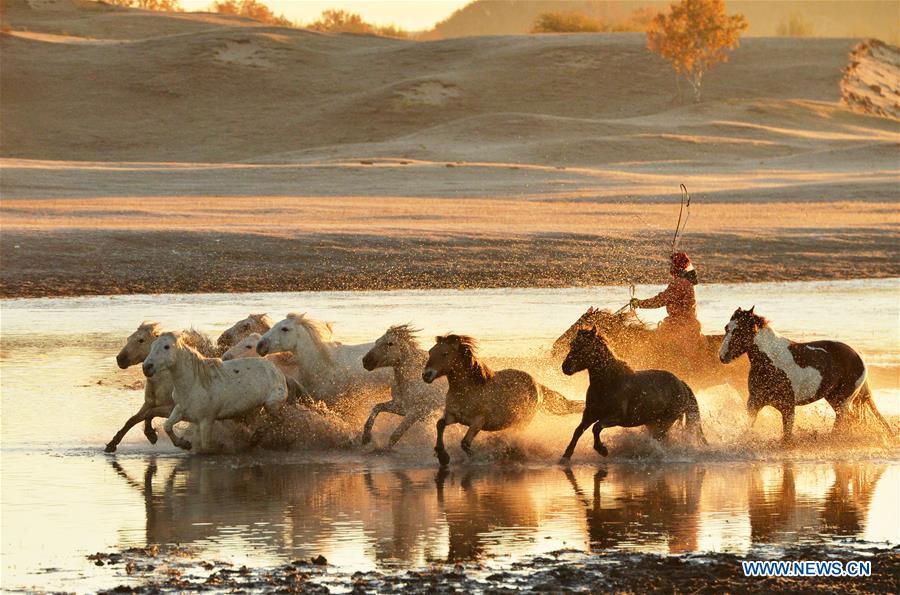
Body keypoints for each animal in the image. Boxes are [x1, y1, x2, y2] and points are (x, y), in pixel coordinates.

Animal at [105, 322, 217, 453]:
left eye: (141, 340)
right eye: (128, 338)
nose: (120, 359)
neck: (162, 382)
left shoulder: (172, 408)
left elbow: (148, 414)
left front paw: (153, 435)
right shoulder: (149, 403)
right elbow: (133, 419)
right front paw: (112, 444)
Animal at [143, 332, 288, 452]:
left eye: (166, 347)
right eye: (152, 346)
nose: (146, 367)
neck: (194, 383)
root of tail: (275, 369)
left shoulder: (206, 420)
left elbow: (206, 447)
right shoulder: (181, 410)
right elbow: (167, 425)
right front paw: (183, 443)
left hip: (272, 404)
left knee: (278, 421)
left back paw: (256, 438)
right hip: (254, 408)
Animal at [423, 334, 584, 467]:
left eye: (445, 354)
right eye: (430, 352)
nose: (426, 375)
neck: (469, 390)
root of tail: (538, 385)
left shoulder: (478, 421)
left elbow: (465, 443)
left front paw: (478, 458)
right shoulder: (453, 416)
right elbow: (440, 424)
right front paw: (443, 456)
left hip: (523, 421)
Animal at [559, 328, 706, 464]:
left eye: (584, 346)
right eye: (572, 344)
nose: (565, 367)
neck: (608, 382)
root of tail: (681, 383)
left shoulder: (616, 417)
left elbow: (597, 427)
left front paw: (602, 450)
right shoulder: (590, 413)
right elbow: (578, 430)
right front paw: (566, 456)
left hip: (666, 421)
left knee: (661, 439)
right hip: (652, 422)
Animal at [718, 306, 893, 443]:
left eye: (739, 330)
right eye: (727, 328)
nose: (722, 356)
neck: (772, 362)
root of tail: (859, 356)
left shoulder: (788, 408)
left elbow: (787, 437)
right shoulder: (754, 403)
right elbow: (748, 429)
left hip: (842, 401)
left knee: (841, 424)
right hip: (833, 398)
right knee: (852, 420)